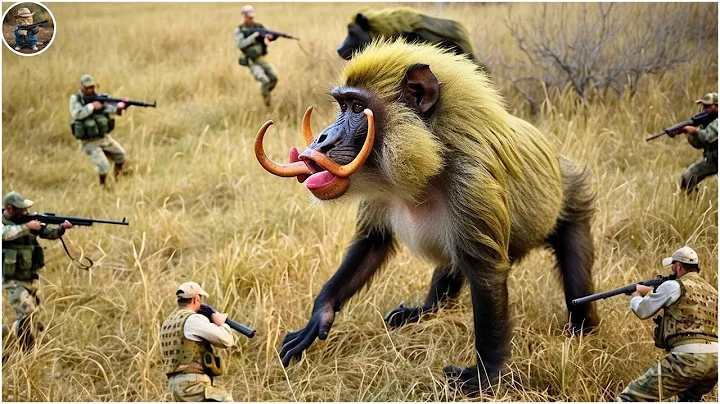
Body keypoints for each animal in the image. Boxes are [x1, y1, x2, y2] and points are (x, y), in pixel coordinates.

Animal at [255, 40, 598, 394]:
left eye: (357, 108)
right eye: (342, 105)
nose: (320, 140)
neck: (433, 162)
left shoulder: (470, 183)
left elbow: (486, 276)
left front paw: (486, 373)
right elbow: (372, 244)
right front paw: (320, 314)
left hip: (572, 203)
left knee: (574, 269)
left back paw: (582, 327)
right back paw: (426, 309)